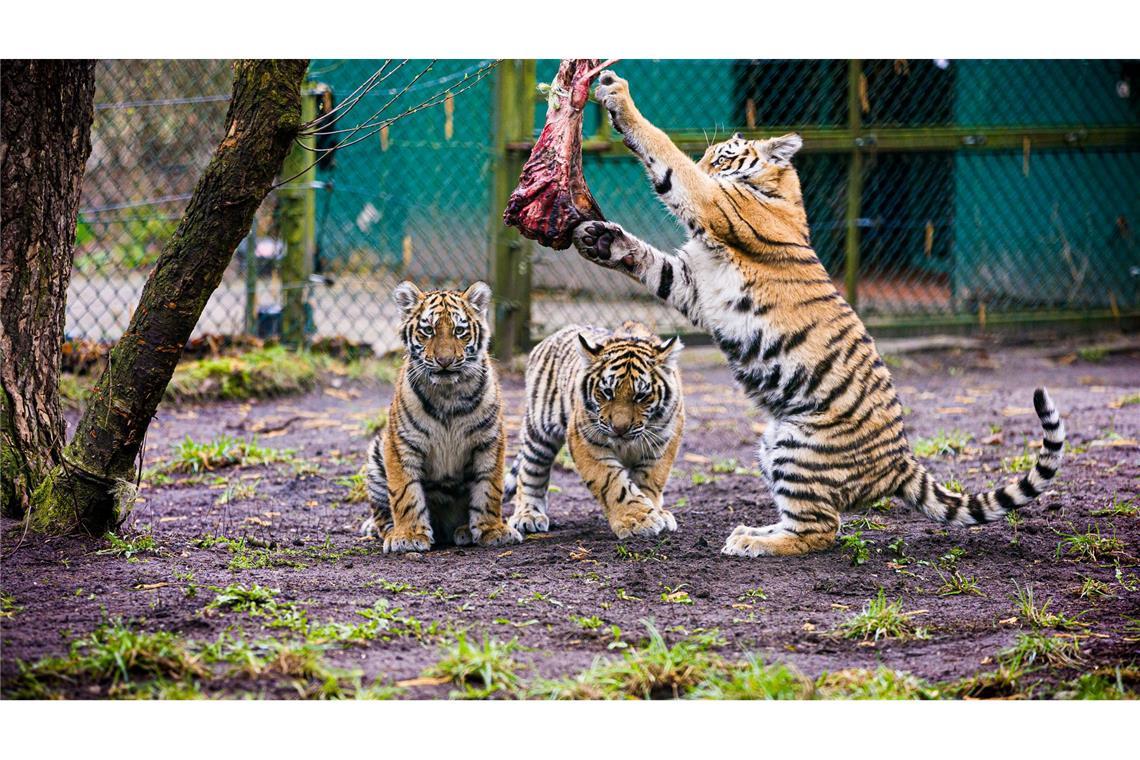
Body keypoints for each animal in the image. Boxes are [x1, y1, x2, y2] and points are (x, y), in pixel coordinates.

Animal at [360, 281, 522, 553]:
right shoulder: (401, 444)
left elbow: (489, 488)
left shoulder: (490, 441)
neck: (448, 393)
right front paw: (408, 536)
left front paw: (493, 530)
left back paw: (464, 530)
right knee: (382, 514)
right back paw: (386, 529)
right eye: (427, 330)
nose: (444, 361)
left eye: (459, 330)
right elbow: (405, 493)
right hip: (376, 452)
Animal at [503, 321, 685, 540]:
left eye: (641, 396)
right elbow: (613, 483)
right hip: (539, 431)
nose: (620, 429)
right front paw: (637, 519)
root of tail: (551, 337)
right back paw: (528, 515)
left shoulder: (664, 440)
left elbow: (651, 480)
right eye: (607, 392)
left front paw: (655, 512)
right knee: (530, 472)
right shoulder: (585, 439)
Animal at [570, 70, 1066, 557]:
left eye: (722, 158)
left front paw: (618, 96)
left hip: (798, 449)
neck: (779, 192)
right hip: (774, 441)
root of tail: (901, 461)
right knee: (819, 520)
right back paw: (753, 532)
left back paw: (752, 541)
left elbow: (665, 151)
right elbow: (651, 262)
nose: (709, 163)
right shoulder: (693, 284)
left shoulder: (712, 207)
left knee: (821, 531)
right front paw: (602, 240)